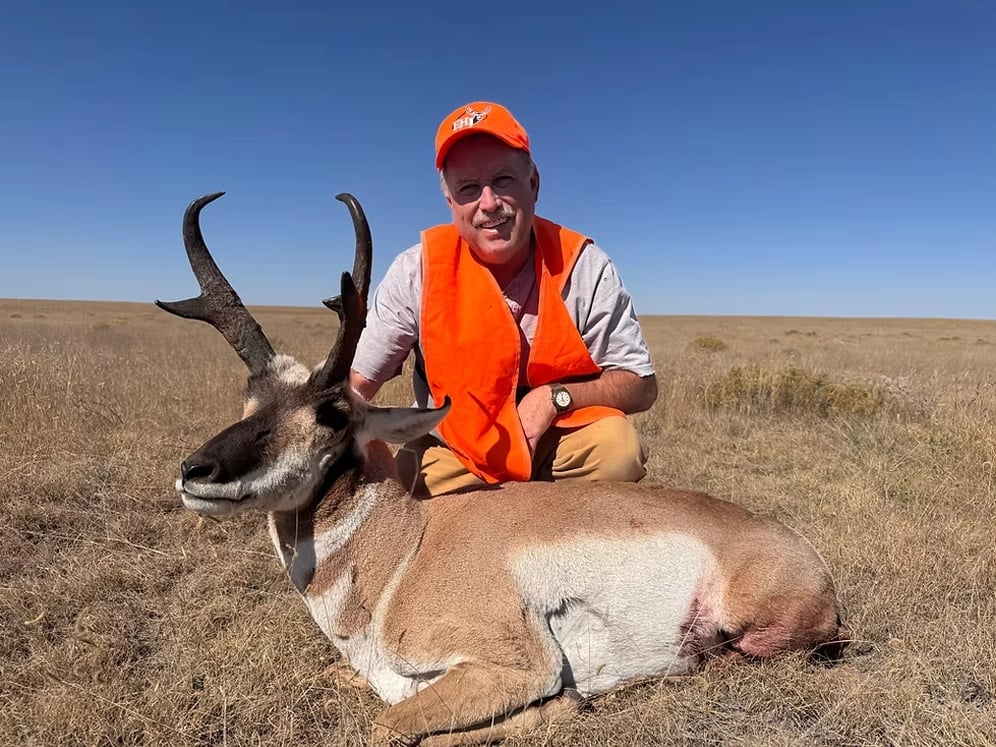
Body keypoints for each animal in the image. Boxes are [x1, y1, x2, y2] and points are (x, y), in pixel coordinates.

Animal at [157, 192, 847, 747]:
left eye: (332, 413)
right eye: (251, 397)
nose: (196, 471)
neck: (403, 550)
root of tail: (800, 550)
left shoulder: (515, 665)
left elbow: (390, 727)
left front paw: (567, 705)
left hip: (751, 632)